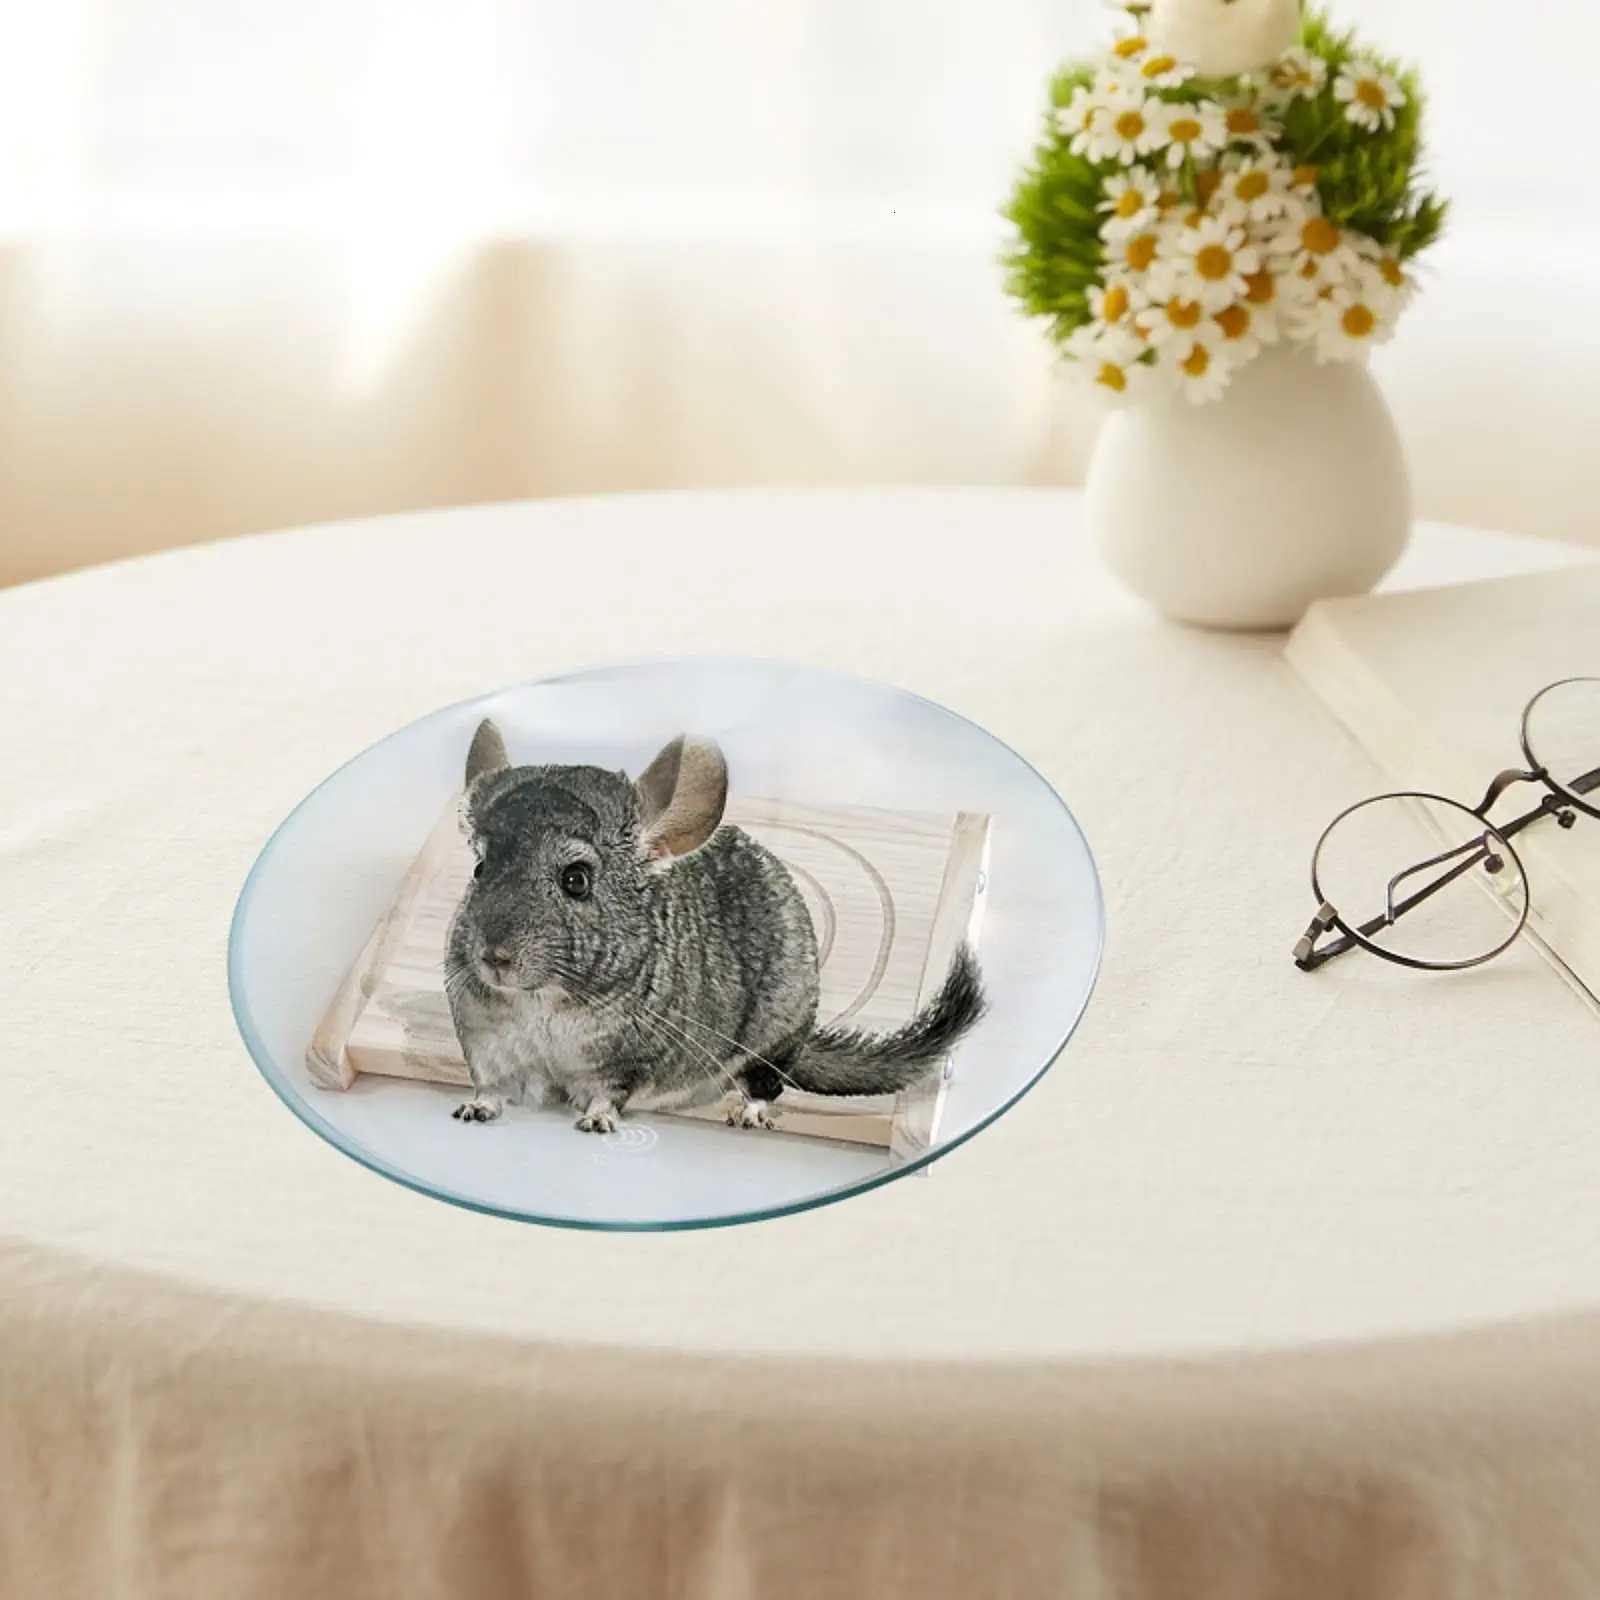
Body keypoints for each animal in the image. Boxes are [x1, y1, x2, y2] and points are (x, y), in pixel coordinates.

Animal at [445, 719, 986, 1134]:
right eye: (479, 869)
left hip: (774, 1035)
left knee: (767, 1082)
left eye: (576, 879)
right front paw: (475, 1108)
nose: (494, 958)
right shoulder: (486, 1047)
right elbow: (491, 1086)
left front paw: (597, 1122)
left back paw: (748, 1113)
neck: (541, 1002)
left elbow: (607, 1094)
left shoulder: (627, 1060)